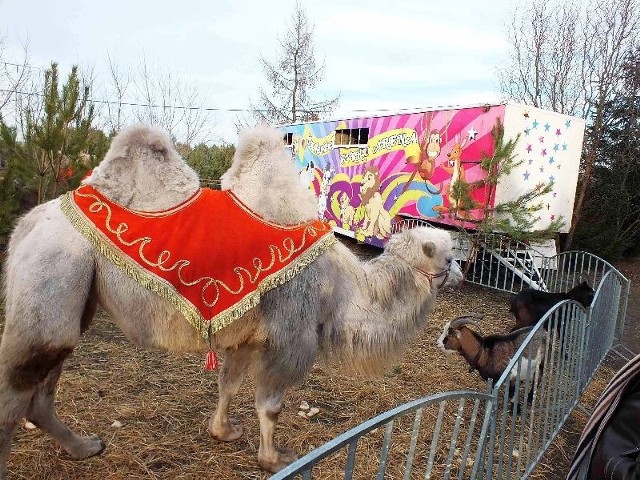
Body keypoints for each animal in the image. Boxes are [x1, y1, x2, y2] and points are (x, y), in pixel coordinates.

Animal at [0, 124, 460, 476]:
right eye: (448, 253)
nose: (461, 272)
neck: (344, 287)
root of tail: (27, 224)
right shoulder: (292, 333)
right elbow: (271, 406)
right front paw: (274, 458)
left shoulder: (247, 335)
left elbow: (228, 383)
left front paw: (223, 431)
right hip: (54, 270)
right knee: (17, 392)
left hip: (74, 296)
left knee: (41, 391)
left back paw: (84, 446)